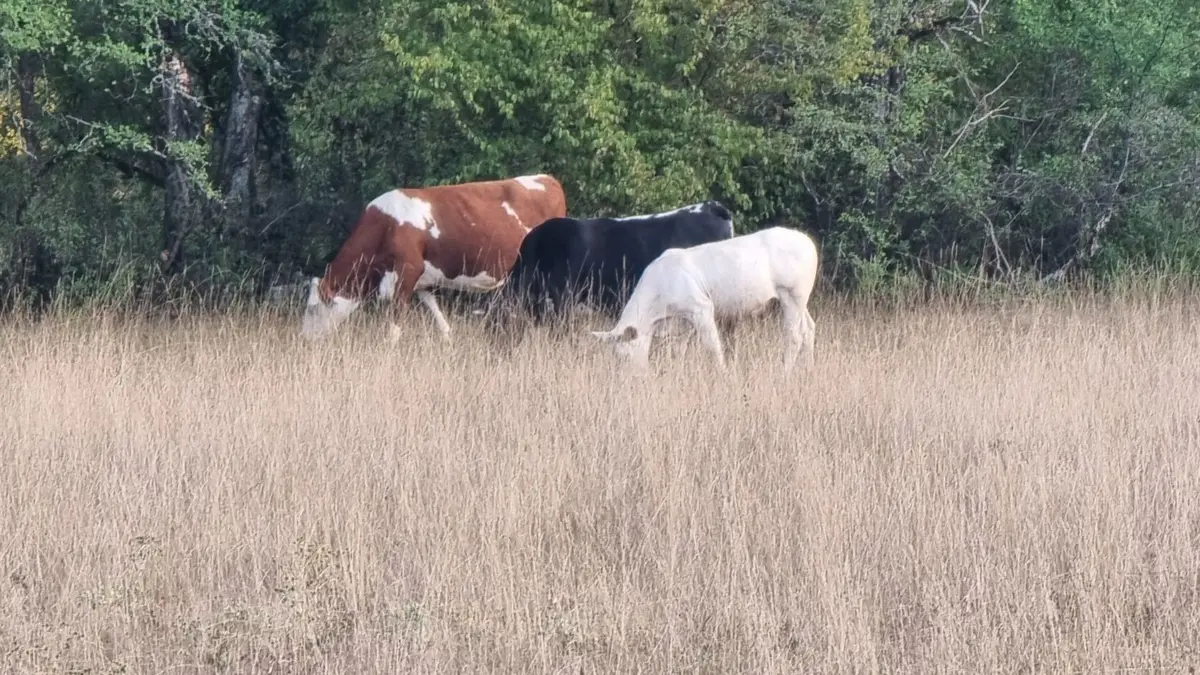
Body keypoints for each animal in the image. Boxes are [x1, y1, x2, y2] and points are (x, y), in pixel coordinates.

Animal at [301, 174, 567, 341]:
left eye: (313, 309)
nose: (304, 339)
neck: (385, 226)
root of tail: (547, 178)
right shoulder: (422, 282)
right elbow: (439, 318)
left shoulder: (407, 272)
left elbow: (393, 329)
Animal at [590, 226, 820, 372]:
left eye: (623, 355)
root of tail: (808, 242)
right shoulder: (683, 321)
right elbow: (678, 351)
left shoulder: (701, 308)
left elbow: (712, 347)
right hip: (800, 301)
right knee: (808, 329)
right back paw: (808, 369)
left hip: (791, 296)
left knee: (794, 336)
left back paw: (784, 372)